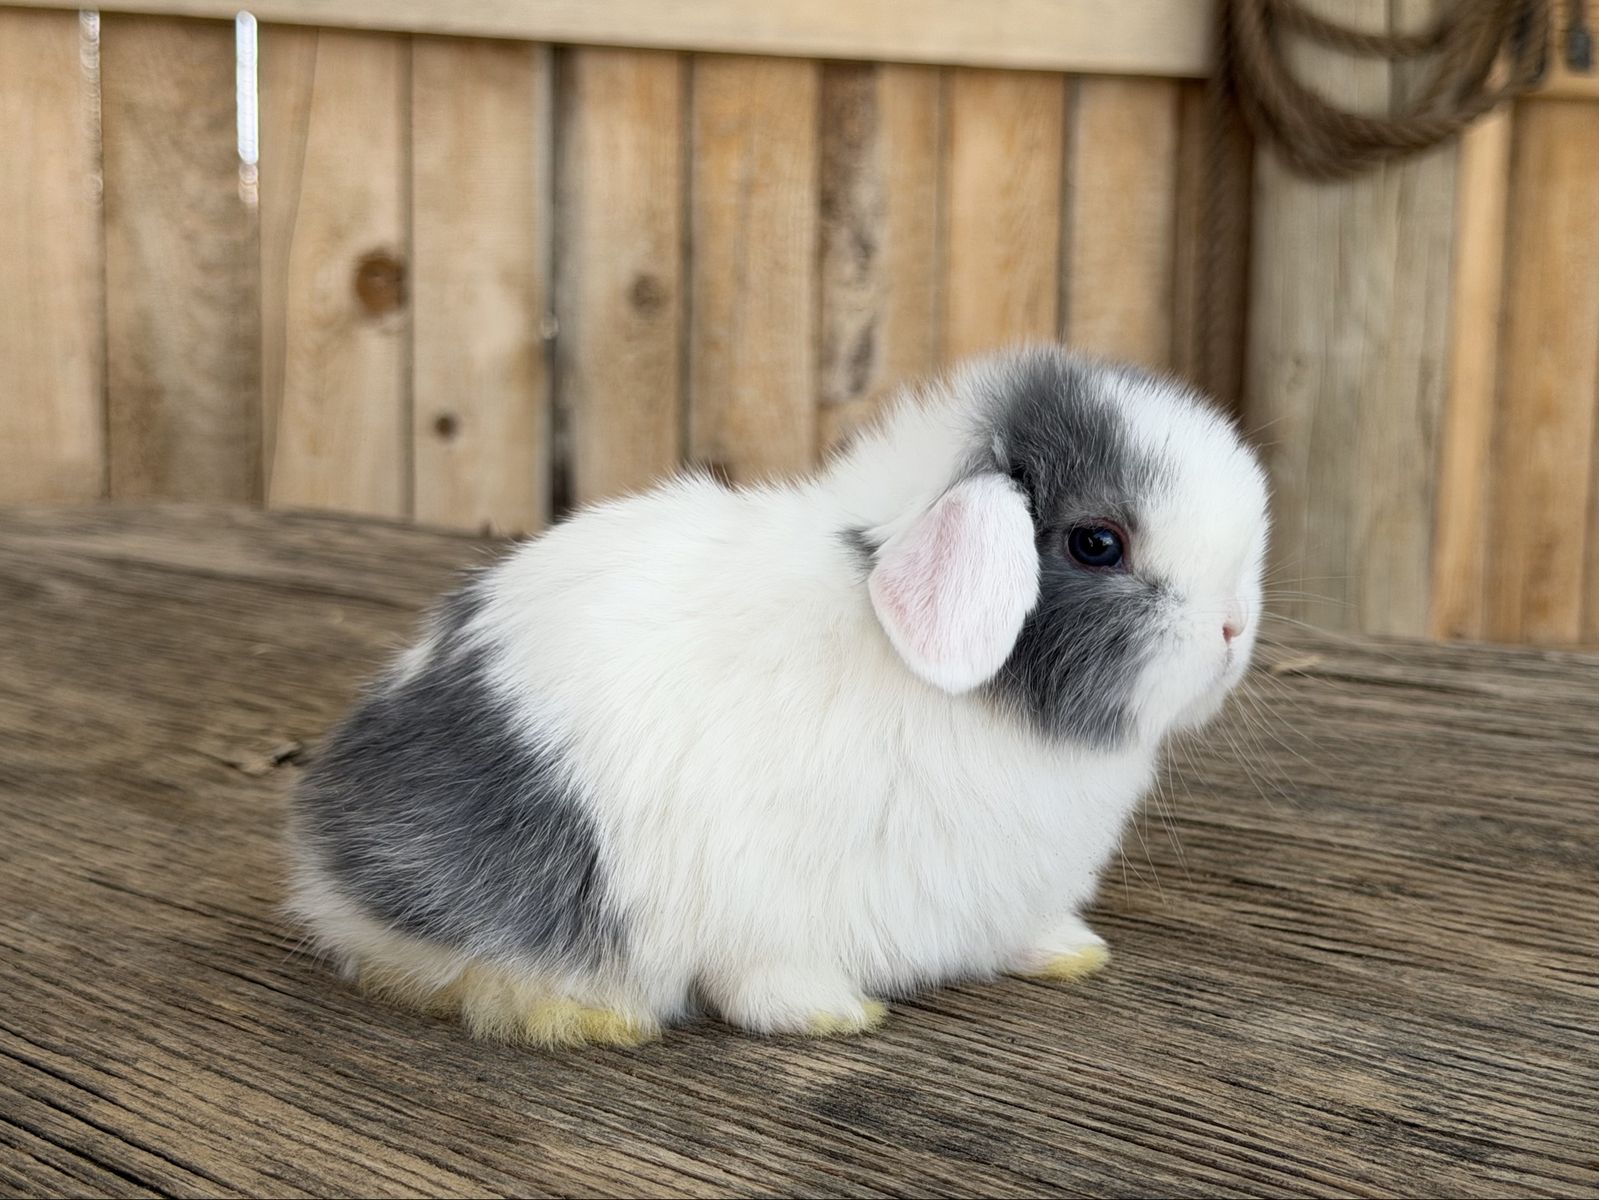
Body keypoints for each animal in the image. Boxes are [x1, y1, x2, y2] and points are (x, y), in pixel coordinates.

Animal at [287, 345, 1269, 1047]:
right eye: (1097, 543)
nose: (1232, 629)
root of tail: (322, 843)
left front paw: (1071, 954)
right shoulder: (769, 906)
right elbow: (767, 984)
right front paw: (836, 1015)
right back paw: (589, 1018)